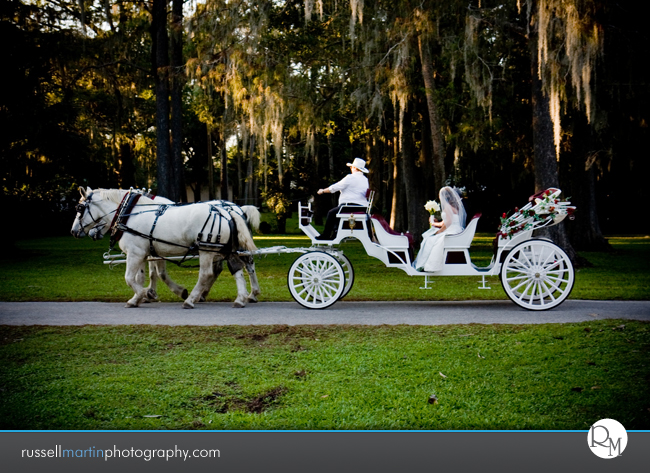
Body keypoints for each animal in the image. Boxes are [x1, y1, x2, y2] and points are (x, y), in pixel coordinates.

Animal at [71, 186, 260, 308]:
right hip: (228, 249)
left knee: (207, 273)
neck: (128, 213)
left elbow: (131, 278)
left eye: (80, 208)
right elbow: (143, 276)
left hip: (207, 250)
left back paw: (191, 299)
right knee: (238, 268)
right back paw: (242, 298)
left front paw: (144, 294)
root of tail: (227, 211)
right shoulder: (147, 252)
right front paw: (140, 297)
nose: (73, 231)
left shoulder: (136, 253)